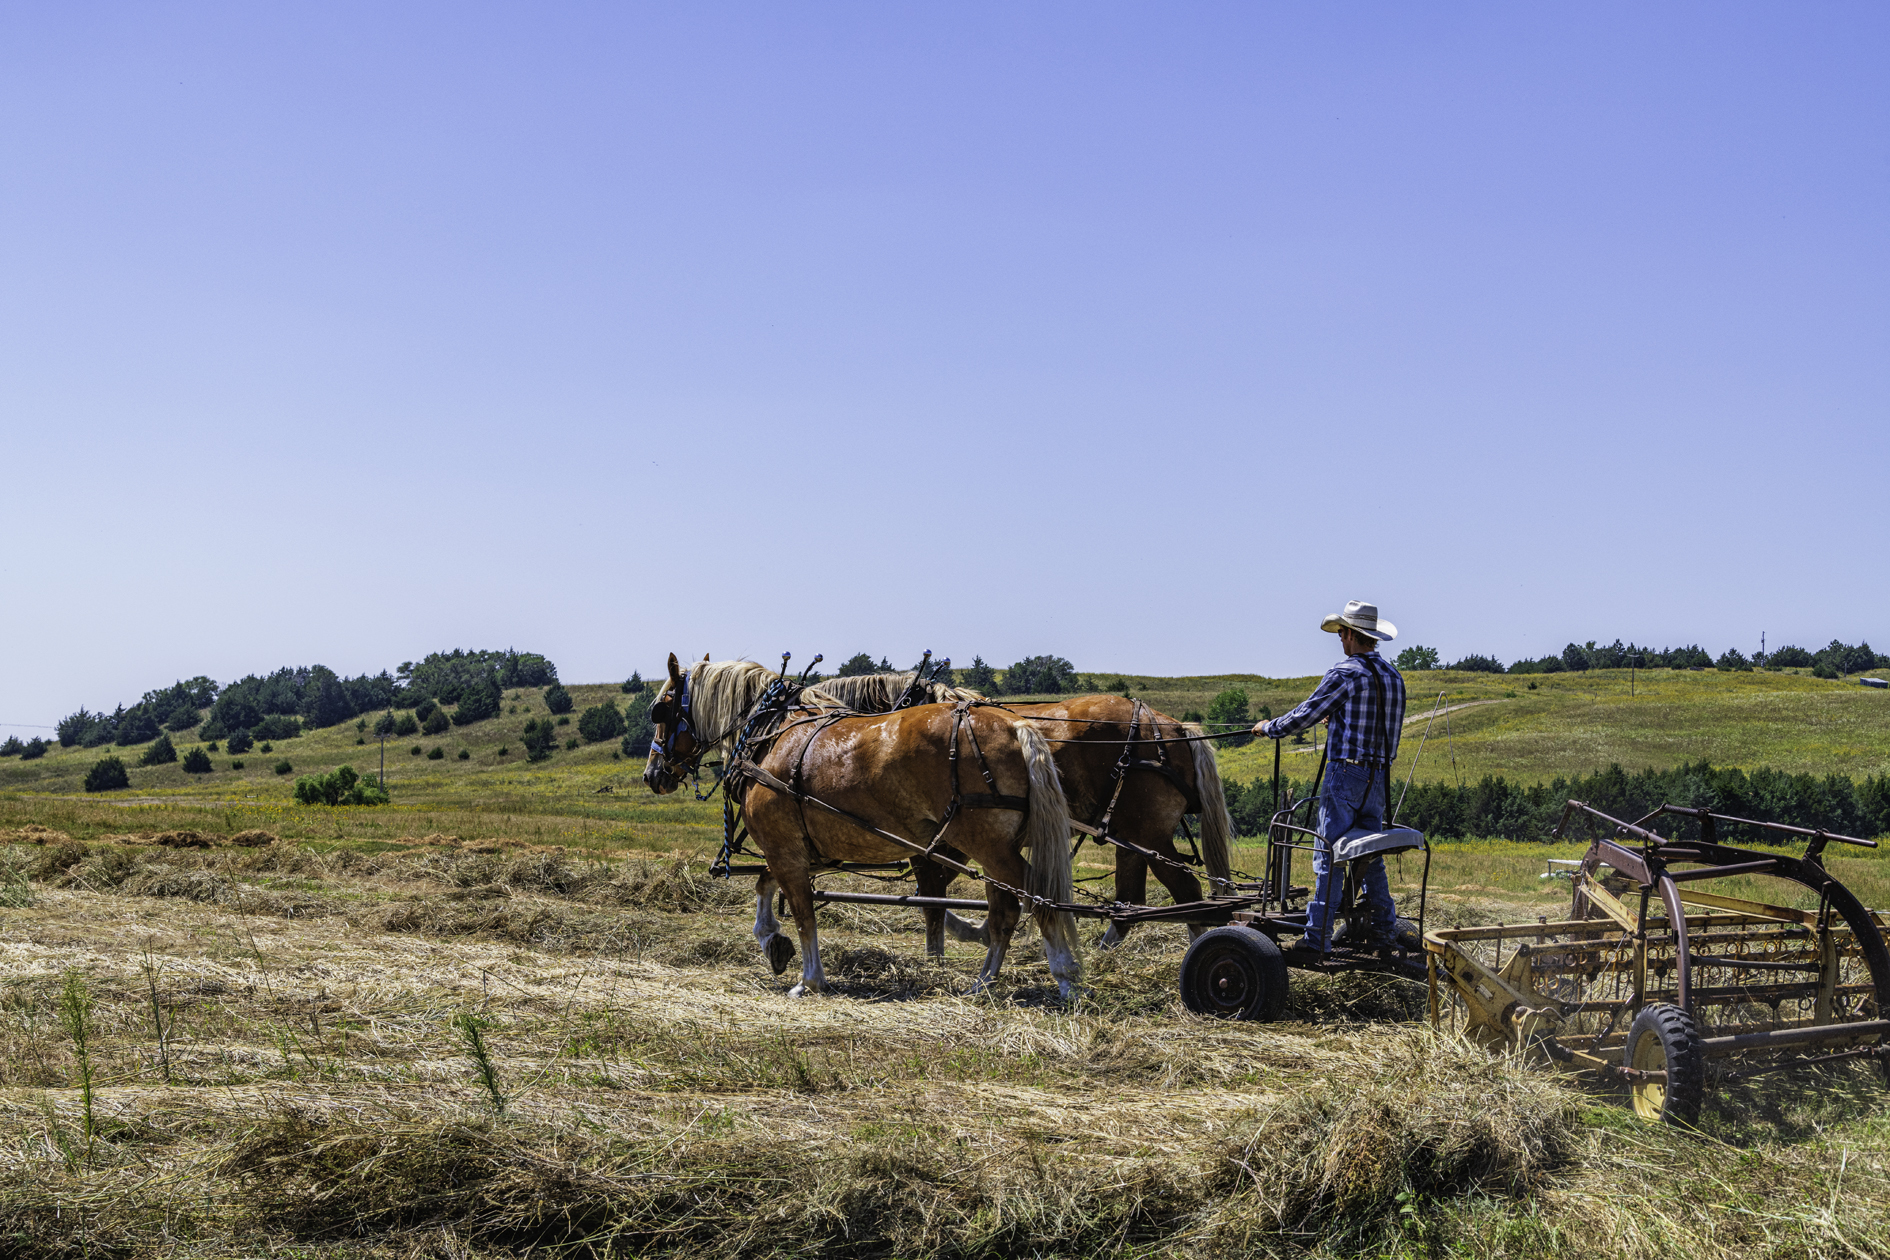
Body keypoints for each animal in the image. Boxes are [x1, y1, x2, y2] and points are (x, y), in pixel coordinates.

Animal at [642, 657, 1081, 997]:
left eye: (660, 709)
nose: (652, 774)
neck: (768, 735)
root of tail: (1015, 726)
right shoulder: (805, 849)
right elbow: (766, 886)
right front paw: (773, 942)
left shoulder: (784, 848)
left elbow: (803, 912)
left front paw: (810, 979)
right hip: (995, 849)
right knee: (1006, 908)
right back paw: (985, 981)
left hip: (988, 845)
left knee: (1038, 895)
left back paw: (1065, 976)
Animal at [816, 668, 1239, 944]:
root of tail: (1174, 727)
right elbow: (945, 889)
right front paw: (981, 931)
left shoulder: (947, 839)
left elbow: (932, 893)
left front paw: (969, 932)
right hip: (1128, 834)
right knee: (1130, 903)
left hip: (1148, 833)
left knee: (1185, 892)